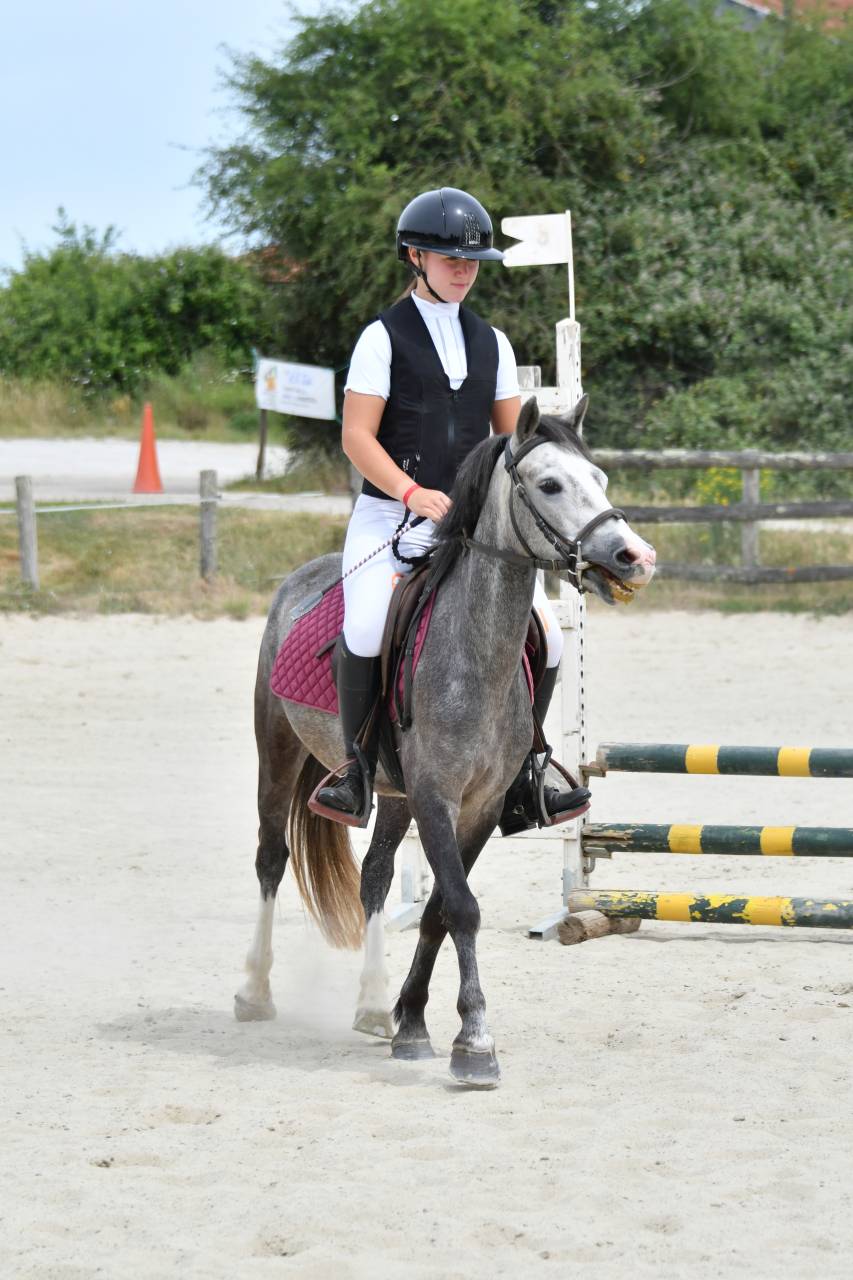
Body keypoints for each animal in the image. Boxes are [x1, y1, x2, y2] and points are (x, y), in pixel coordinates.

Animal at [234, 396, 656, 1087]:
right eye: (549, 484)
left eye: (599, 479)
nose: (635, 558)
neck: (475, 655)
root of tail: (303, 577)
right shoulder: (435, 796)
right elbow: (461, 905)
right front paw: (476, 1043)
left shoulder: (478, 806)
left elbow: (437, 908)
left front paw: (411, 1022)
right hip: (278, 750)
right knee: (272, 858)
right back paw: (254, 992)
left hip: (391, 793)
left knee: (375, 878)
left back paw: (372, 1006)